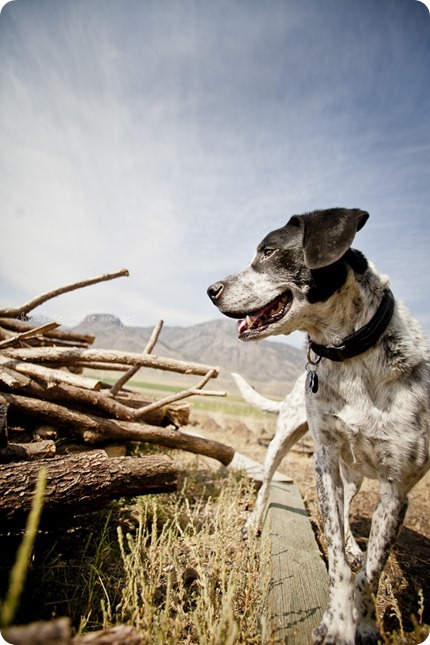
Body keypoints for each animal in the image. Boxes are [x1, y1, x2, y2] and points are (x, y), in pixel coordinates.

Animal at [207, 209, 428, 640]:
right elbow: (336, 556)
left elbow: (371, 571)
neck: (352, 355)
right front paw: (338, 620)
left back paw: (356, 546)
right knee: (267, 485)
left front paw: (364, 623)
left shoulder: (397, 489)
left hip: (354, 474)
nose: (211, 289)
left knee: (348, 515)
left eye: (269, 251)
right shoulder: (323, 462)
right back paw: (254, 522)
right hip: (284, 442)